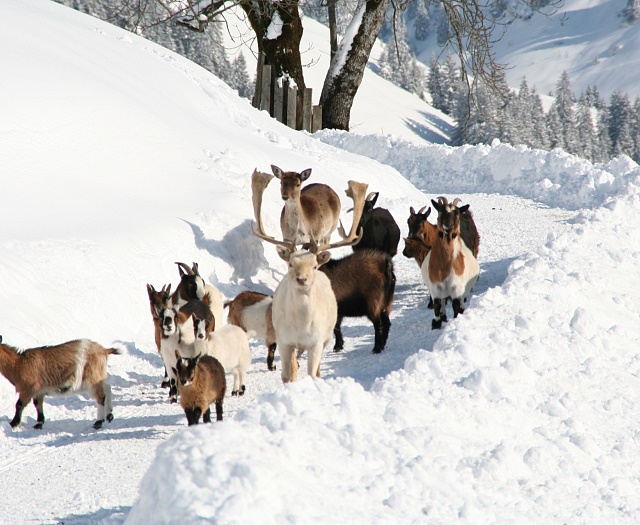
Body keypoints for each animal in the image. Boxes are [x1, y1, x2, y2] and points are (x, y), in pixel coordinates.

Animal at [252, 170, 368, 382]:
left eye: (314, 266)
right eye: (290, 264)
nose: (302, 279)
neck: (301, 327)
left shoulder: (317, 342)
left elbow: (313, 373)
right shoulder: (284, 340)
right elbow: (288, 375)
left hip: (326, 337)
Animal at [422, 196, 478, 328]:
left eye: (456, 213)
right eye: (440, 211)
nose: (448, 227)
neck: (444, 267)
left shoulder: (457, 287)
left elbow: (456, 306)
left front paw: (457, 320)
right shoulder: (435, 286)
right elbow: (437, 304)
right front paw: (436, 323)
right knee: (443, 301)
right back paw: (443, 316)